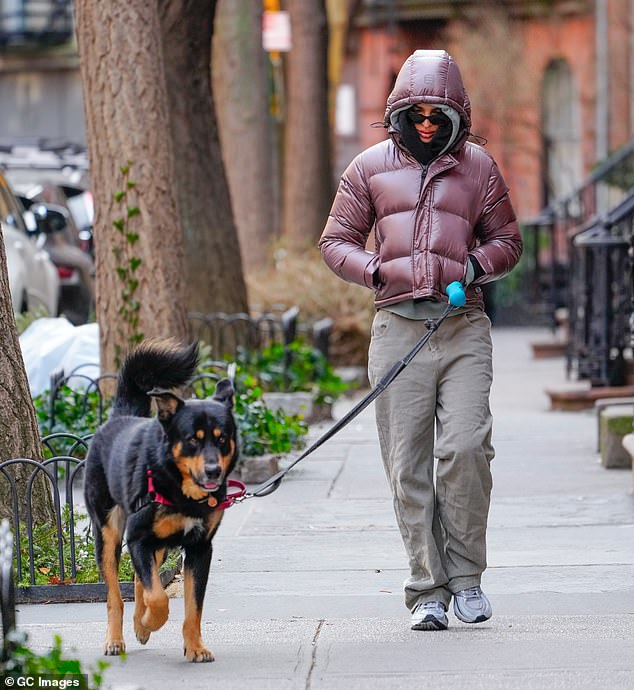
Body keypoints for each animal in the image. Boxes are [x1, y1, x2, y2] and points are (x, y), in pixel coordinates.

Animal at [84, 338, 237, 660]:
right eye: (192, 439)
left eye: (221, 438)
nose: (214, 471)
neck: (183, 493)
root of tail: (120, 417)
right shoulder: (138, 537)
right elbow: (157, 597)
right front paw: (150, 622)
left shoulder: (200, 549)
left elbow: (193, 608)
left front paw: (195, 646)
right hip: (109, 534)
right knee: (116, 595)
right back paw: (115, 639)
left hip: (160, 546)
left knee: (140, 580)